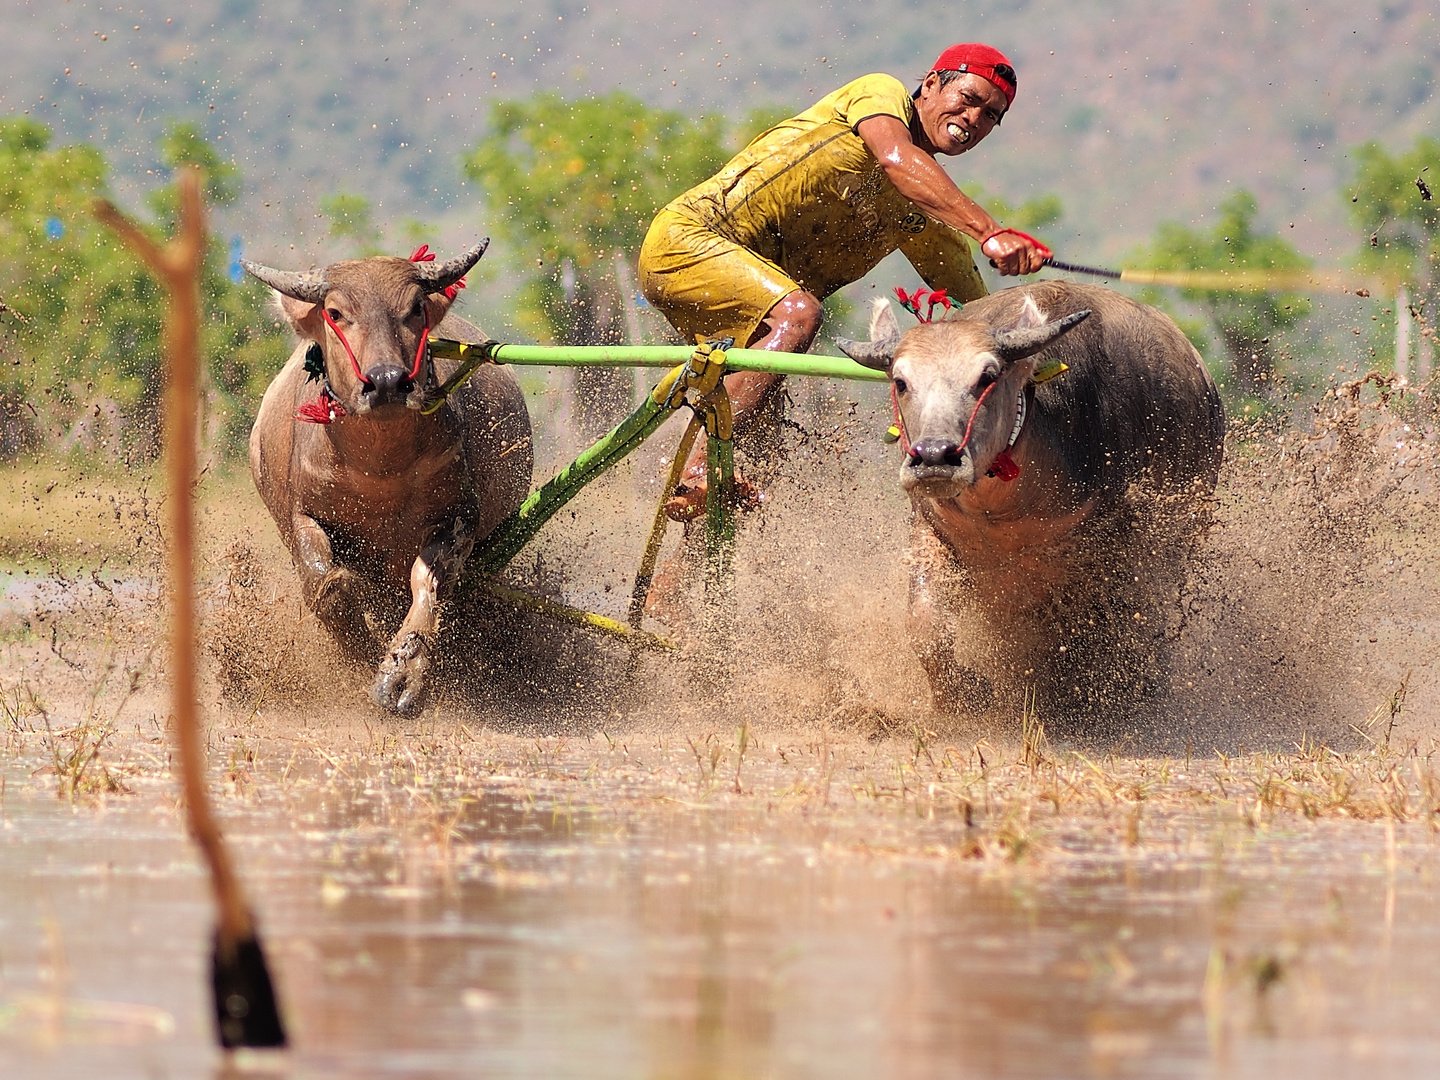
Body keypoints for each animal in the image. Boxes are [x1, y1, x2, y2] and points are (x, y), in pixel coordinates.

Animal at [241, 247, 535, 720]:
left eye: (415, 308)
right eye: (336, 313)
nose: (387, 382)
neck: (381, 470)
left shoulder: (460, 518)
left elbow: (430, 585)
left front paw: (401, 675)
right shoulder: (304, 514)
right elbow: (328, 585)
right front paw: (361, 656)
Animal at [835, 280, 1226, 728]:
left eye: (987, 376)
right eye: (901, 381)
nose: (934, 456)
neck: (1001, 511)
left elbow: (1117, 624)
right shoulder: (930, 527)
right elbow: (924, 624)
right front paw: (966, 695)